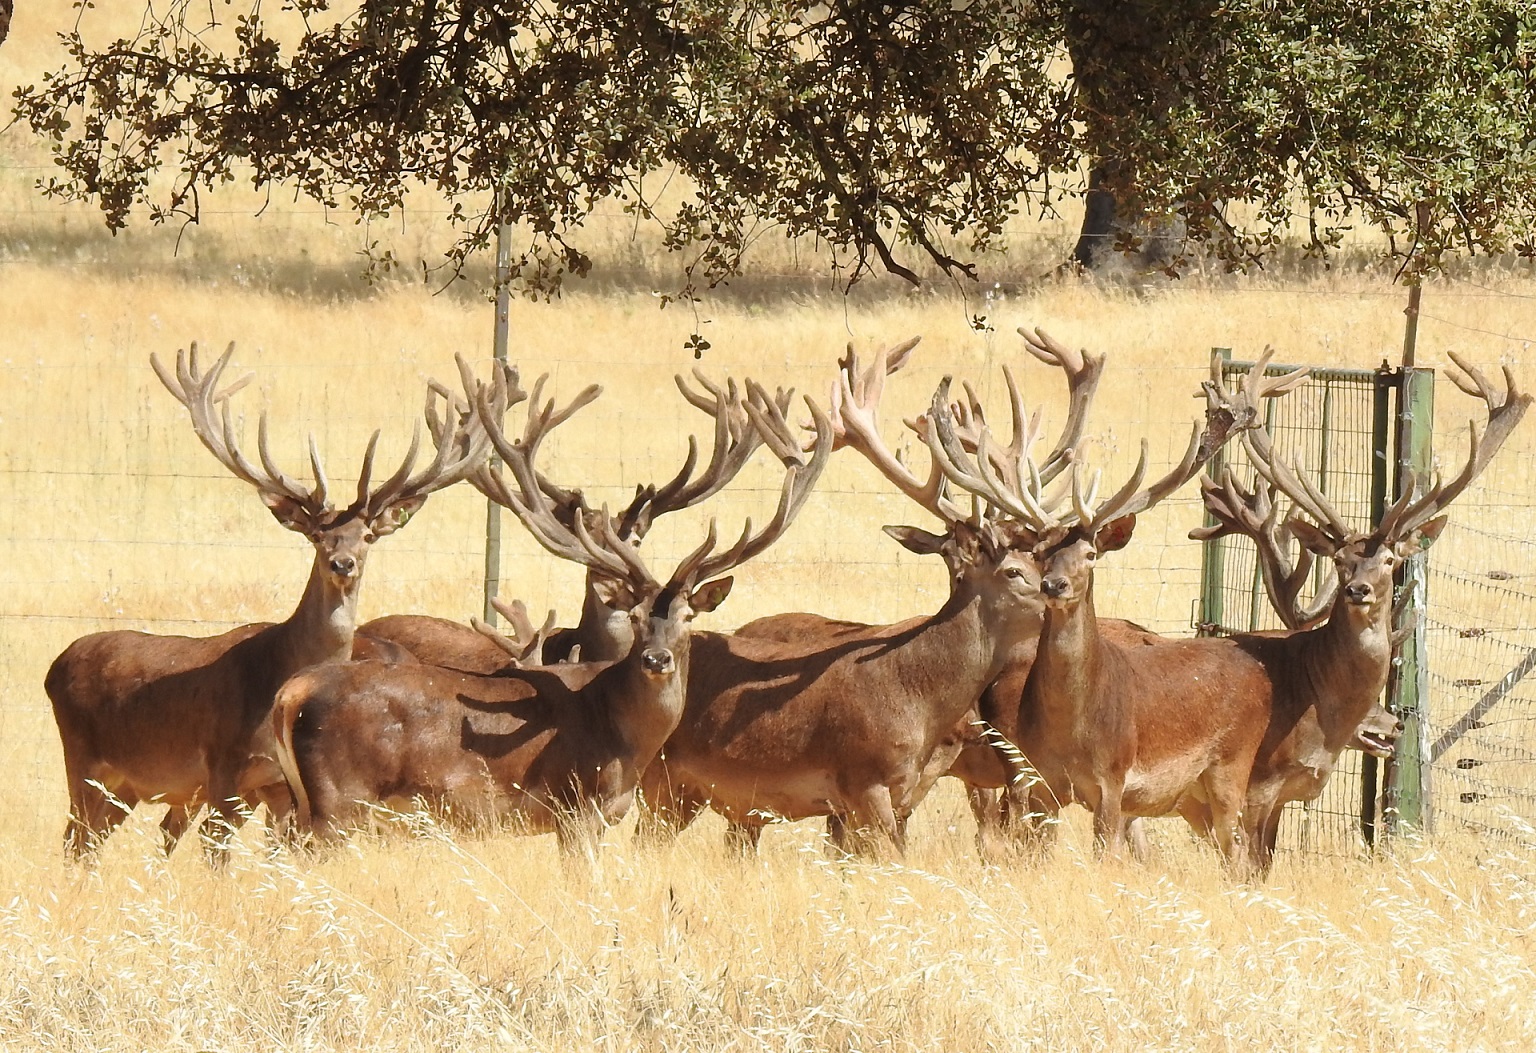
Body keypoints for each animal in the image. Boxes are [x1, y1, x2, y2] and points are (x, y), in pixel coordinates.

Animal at [45, 343, 500, 862]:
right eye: (319, 535)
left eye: (366, 535)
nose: (343, 563)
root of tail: (55, 666)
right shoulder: (223, 767)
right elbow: (216, 852)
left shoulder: (281, 787)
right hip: (83, 764)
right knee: (74, 840)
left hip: (123, 787)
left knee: (88, 843)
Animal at [270, 363, 833, 856]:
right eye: (634, 616)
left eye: (687, 617)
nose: (656, 659)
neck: (622, 738)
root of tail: (291, 695)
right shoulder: (575, 808)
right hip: (339, 801)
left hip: (309, 805)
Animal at [924, 349, 1309, 867]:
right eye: (1039, 552)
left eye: (1090, 554)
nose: (1054, 584)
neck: (1072, 729)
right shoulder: (1041, 784)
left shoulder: (1113, 780)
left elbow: (1107, 852)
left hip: (1232, 767)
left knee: (1238, 850)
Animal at [1177, 353, 1530, 874]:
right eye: (1340, 560)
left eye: (1389, 559)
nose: (1357, 590)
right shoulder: (1256, 782)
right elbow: (1250, 866)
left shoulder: (1279, 796)